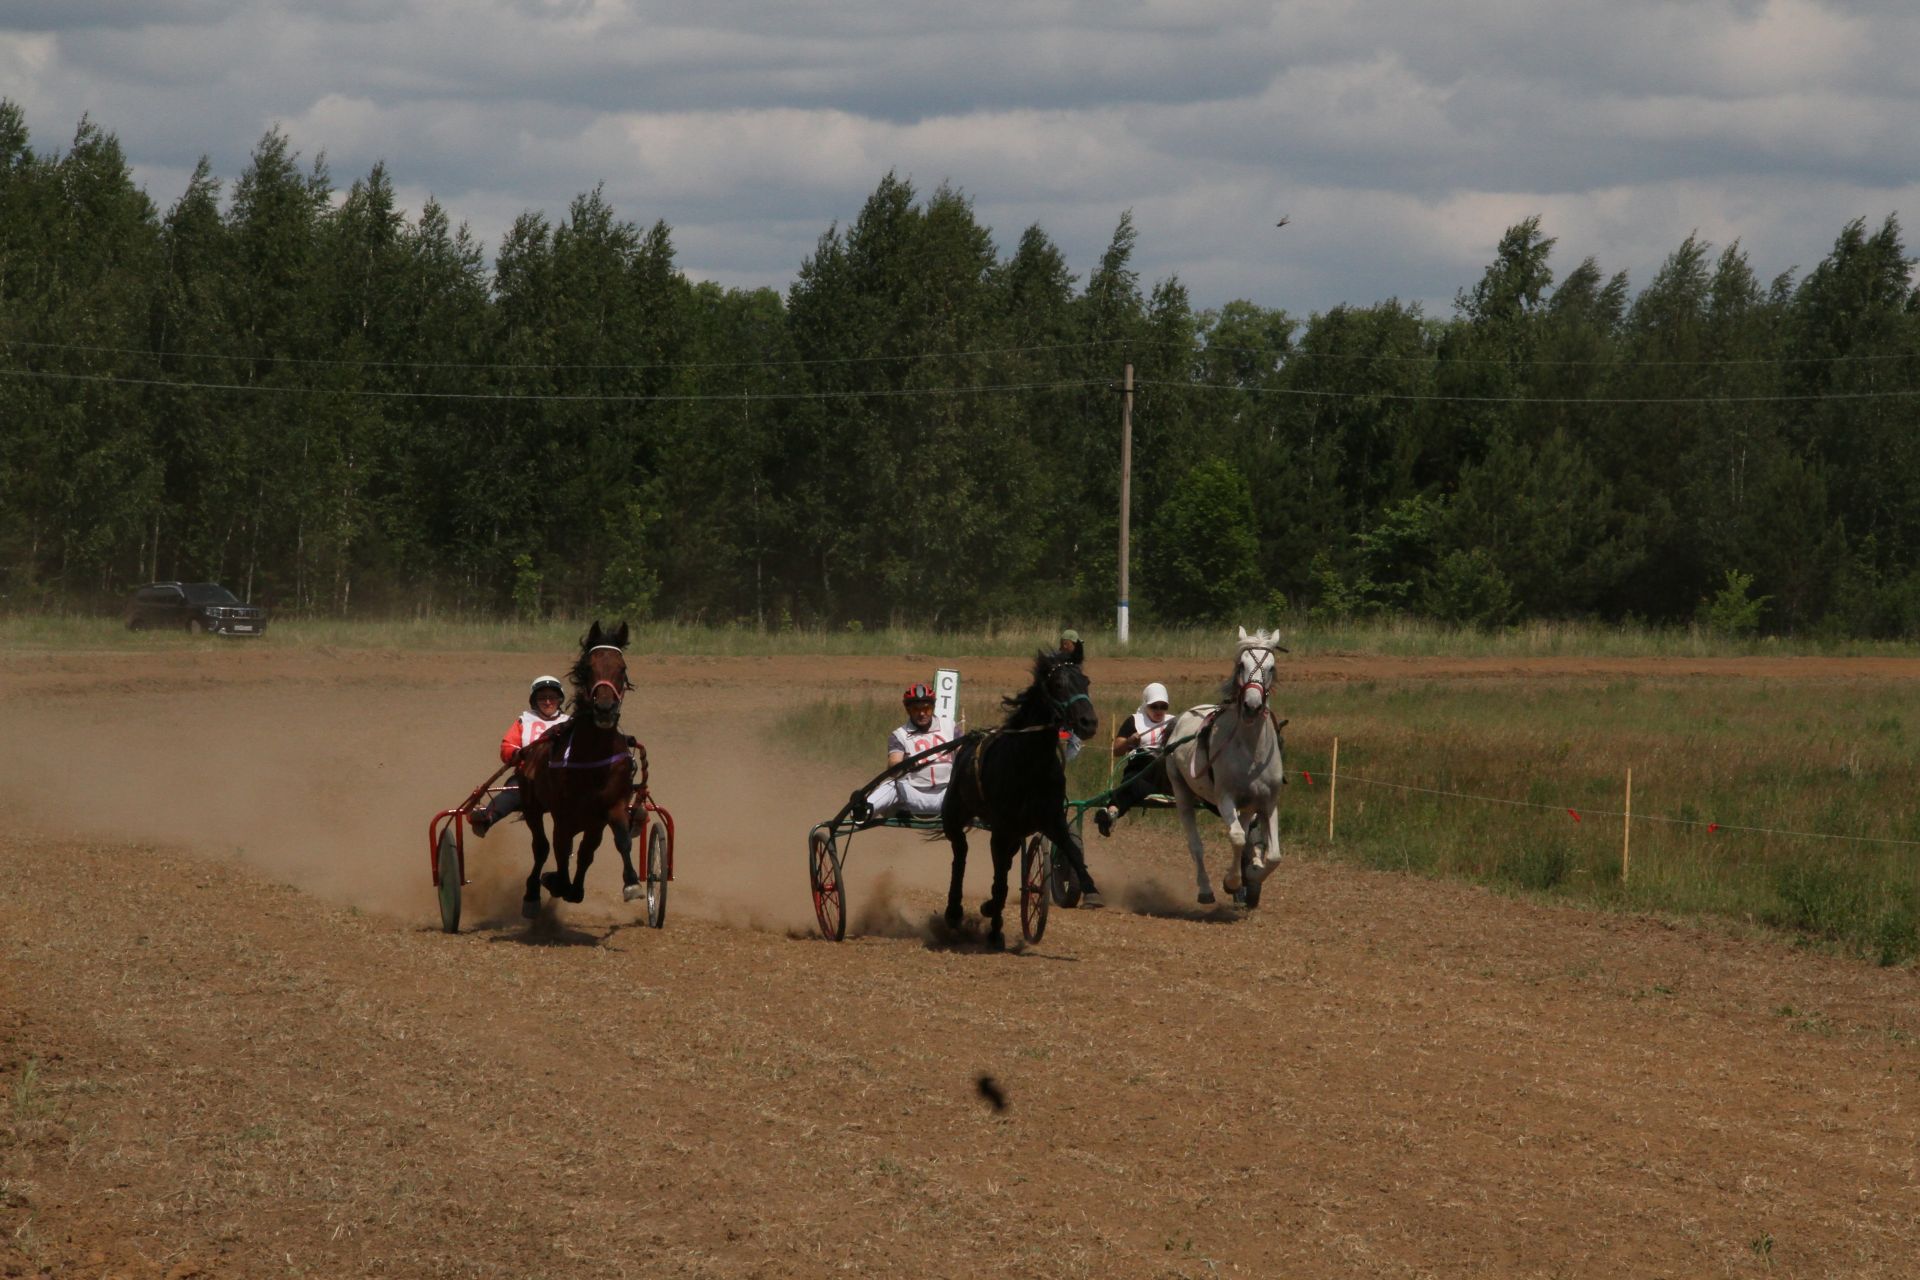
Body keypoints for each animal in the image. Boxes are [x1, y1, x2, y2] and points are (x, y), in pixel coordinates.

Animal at [518, 617, 645, 909]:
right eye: (589, 668)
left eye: (622, 668)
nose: (605, 710)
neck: (592, 757)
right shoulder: (563, 812)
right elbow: (561, 849)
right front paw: (558, 882)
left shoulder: (611, 806)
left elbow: (616, 841)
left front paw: (631, 883)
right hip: (532, 806)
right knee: (542, 846)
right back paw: (533, 891)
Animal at [940, 656, 1105, 948]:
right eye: (1058, 684)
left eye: (1086, 681)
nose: (1088, 723)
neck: (1030, 764)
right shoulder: (1001, 828)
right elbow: (1000, 883)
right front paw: (994, 930)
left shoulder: (1051, 819)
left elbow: (1071, 852)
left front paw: (1090, 889)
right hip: (954, 817)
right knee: (960, 854)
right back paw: (954, 911)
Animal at [1152, 629, 1290, 909]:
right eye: (1241, 665)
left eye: (1271, 667)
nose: (1252, 705)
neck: (1251, 751)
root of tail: (1181, 717)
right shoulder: (1225, 797)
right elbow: (1236, 837)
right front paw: (1233, 882)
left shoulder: (1268, 802)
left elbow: (1274, 856)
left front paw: (1253, 874)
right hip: (1182, 792)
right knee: (1196, 845)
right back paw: (1205, 889)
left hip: (1247, 806)